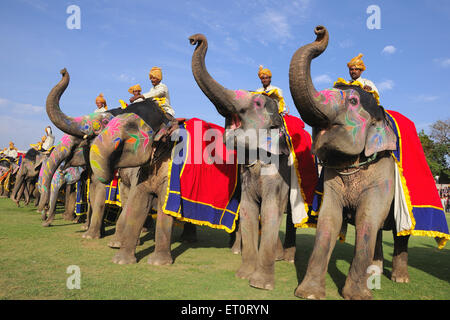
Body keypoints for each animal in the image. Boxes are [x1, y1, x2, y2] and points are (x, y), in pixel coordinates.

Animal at [188, 33, 318, 290]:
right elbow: (248, 211)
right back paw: (280, 256)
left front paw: (260, 284)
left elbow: (269, 211)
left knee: (289, 220)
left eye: (256, 104)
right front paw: (243, 275)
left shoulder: (279, 173)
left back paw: (288, 259)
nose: (194, 39)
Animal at [288, 25, 412, 300]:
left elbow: (367, 218)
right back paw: (375, 272)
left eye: (353, 102)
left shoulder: (383, 176)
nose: (319, 30)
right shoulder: (331, 180)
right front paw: (308, 294)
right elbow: (329, 220)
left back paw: (400, 279)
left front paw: (357, 295)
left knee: (399, 232)